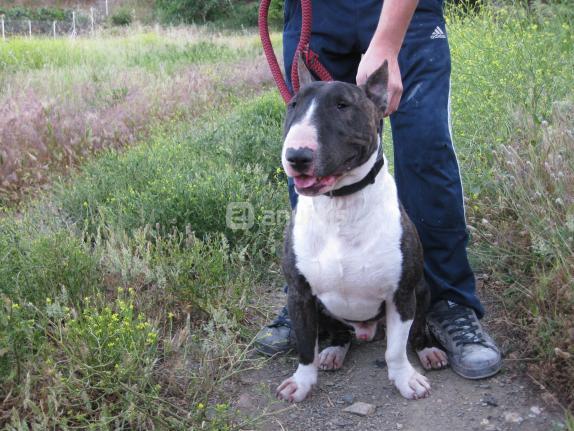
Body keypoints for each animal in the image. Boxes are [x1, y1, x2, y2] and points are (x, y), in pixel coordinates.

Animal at [278, 59, 450, 404]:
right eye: (293, 105)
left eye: (343, 106)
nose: (297, 156)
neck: (341, 204)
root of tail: (366, 330)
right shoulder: (300, 295)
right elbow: (305, 345)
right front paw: (302, 382)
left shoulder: (401, 295)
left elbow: (396, 350)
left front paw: (406, 379)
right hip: (324, 309)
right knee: (338, 333)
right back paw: (333, 351)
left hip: (422, 290)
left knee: (418, 330)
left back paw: (428, 351)